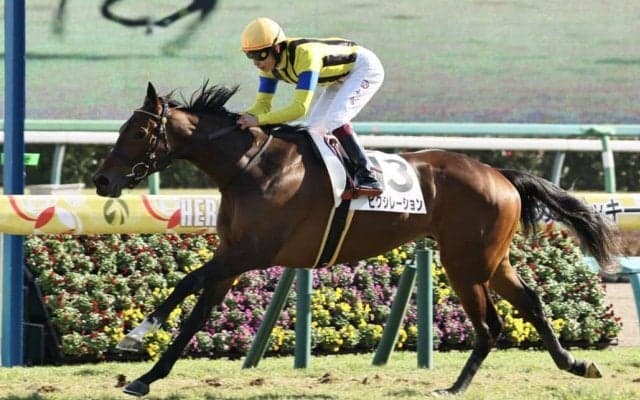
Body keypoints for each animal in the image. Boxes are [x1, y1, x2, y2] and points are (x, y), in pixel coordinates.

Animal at [92, 82, 618, 397]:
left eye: (137, 132)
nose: (102, 181)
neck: (250, 168)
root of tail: (499, 173)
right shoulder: (232, 255)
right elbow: (196, 314)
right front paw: (146, 377)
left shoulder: (251, 252)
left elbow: (187, 283)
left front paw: (135, 336)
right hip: (490, 259)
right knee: (529, 302)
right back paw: (575, 363)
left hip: (465, 263)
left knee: (492, 325)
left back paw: (454, 388)